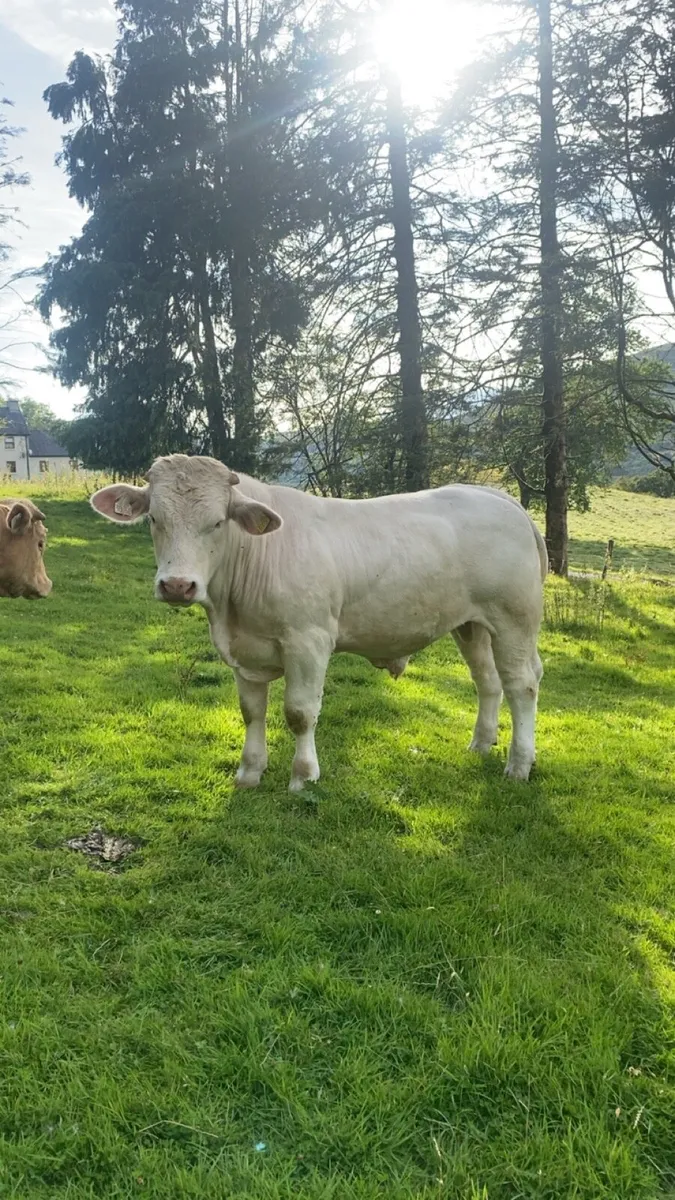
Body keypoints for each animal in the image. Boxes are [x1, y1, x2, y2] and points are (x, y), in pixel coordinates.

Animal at [91, 455, 547, 790]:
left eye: (217, 522)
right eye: (154, 519)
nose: (177, 585)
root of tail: (498, 497)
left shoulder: (308, 640)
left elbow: (299, 712)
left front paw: (303, 776)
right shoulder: (244, 652)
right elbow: (251, 711)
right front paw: (250, 772)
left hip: (514, 618)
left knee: (521, 684)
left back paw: (518, 764)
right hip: (471, 624)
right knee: (488, 681)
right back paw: (481, 744)